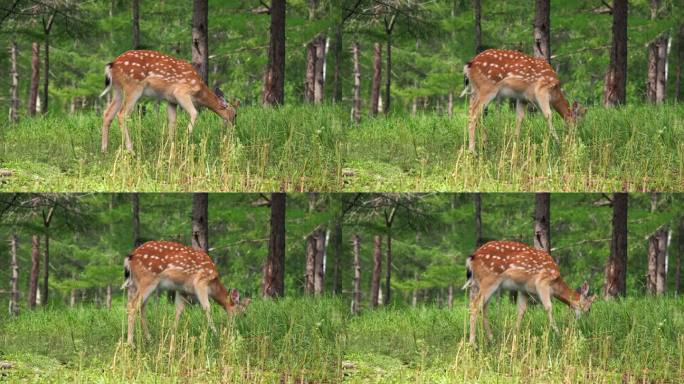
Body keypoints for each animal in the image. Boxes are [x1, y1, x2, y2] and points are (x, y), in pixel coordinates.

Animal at [97, 49, 239, 153]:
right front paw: (185, 139)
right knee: (122, 114)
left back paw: (104, 150)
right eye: (235, 114)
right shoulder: (181, 92)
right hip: (133, 87)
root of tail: (112, 64)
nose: (234, 127)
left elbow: (172, 121)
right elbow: (194, 113)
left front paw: (171, 145)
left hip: (118, 90)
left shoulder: (171, 100)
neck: (199, 91)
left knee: (107, 113)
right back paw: (130, 149)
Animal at [462, 240, 596, 344]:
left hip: (481, 284)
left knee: (483, 307)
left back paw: (491, 339)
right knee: (475, 305)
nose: (586, 323)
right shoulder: (542, 281)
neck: (555, 284)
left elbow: (521, 311)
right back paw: (472, 342)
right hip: (489, 280)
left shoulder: (524, 290)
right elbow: (548, 307)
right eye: (589, 308)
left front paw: (514, 335)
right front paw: (558, 334)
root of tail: (472, 257)